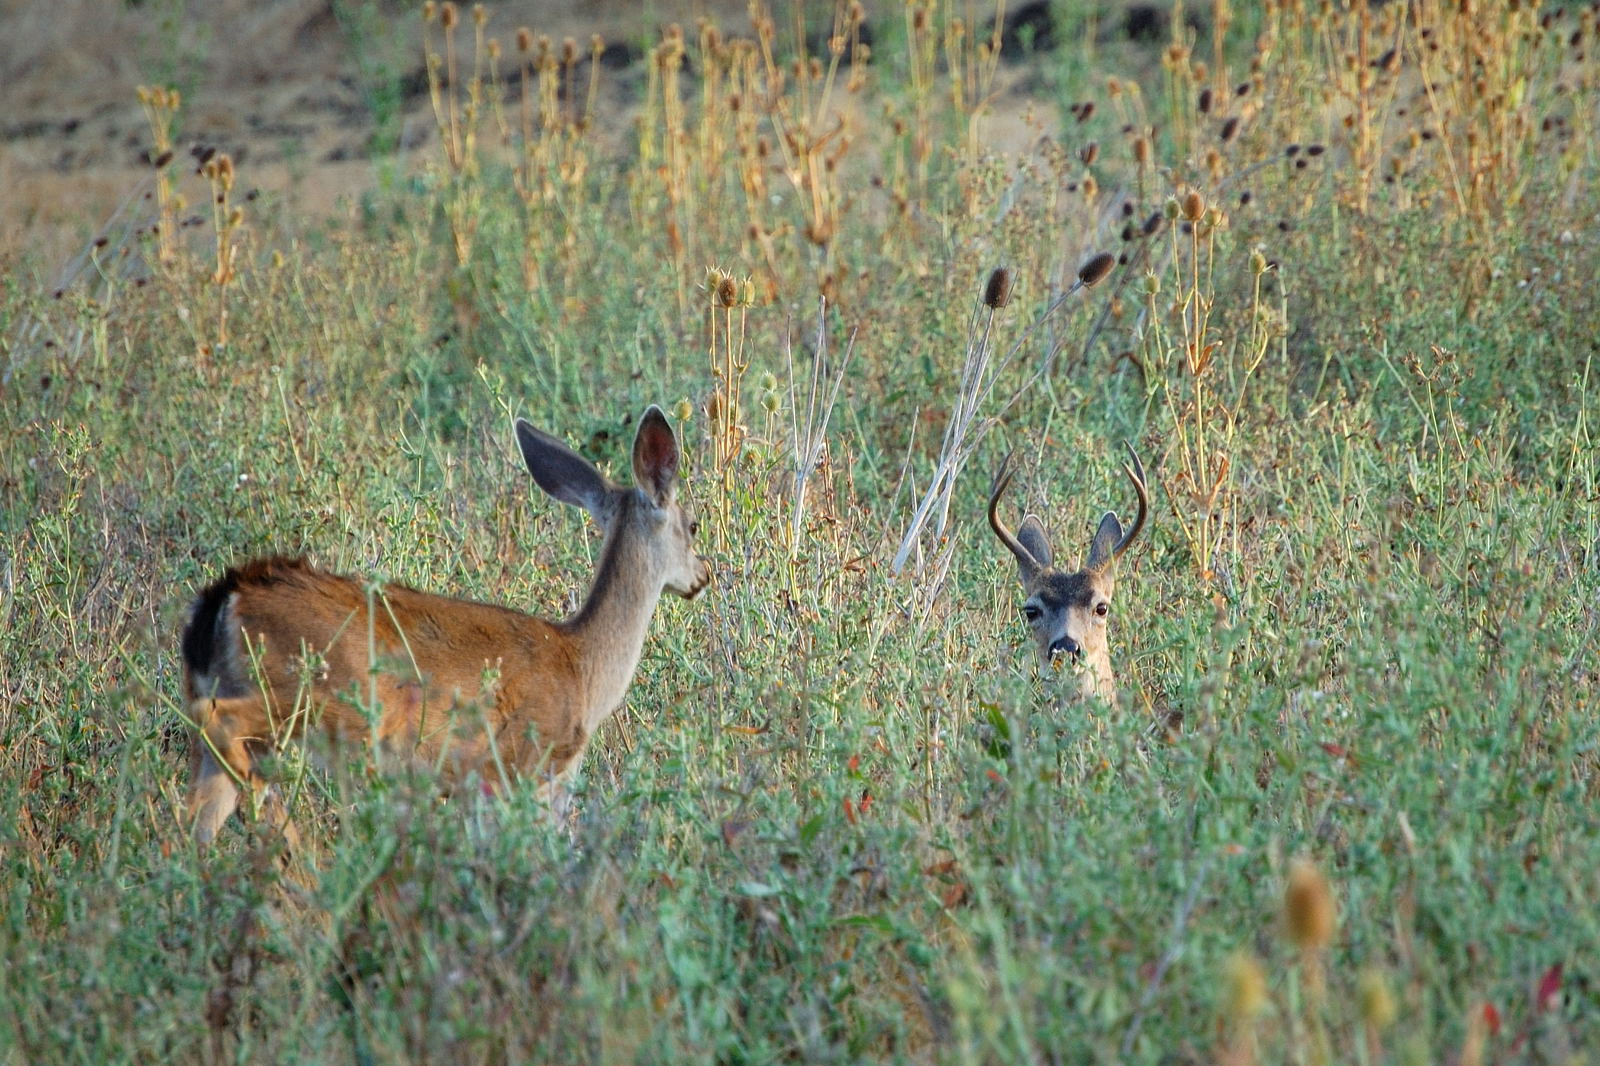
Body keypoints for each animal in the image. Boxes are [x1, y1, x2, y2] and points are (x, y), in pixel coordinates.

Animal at [180, 406, 707, 845]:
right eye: (694, 526)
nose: (702, 576)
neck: (584, 667)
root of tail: (226, 595)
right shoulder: (527, 766)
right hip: (314, 697)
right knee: (219, 726)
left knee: (197, 815)